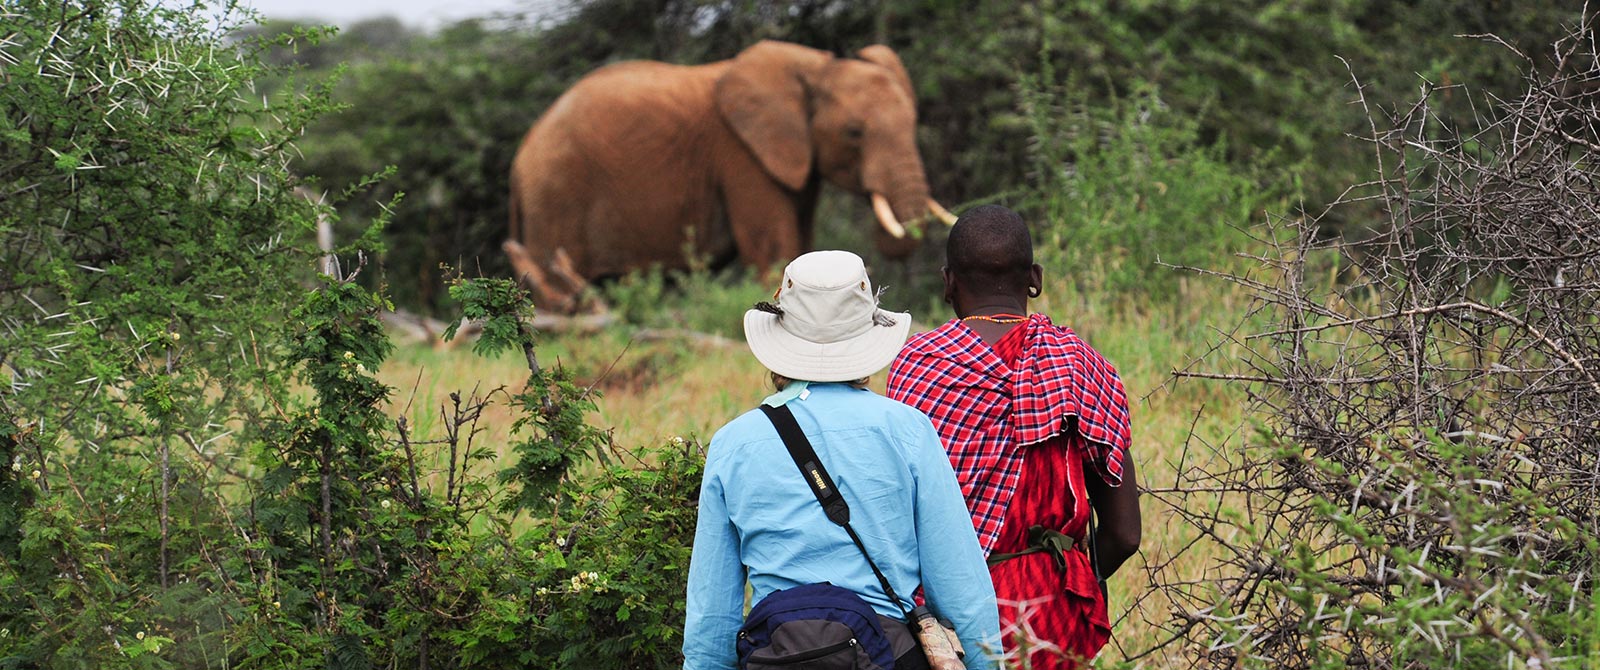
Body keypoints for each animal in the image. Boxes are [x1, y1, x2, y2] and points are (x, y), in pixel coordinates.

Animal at [502, 40, 947, 313]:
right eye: (854, 133)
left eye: (914, 121)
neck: (816, 67)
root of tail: (520, 157)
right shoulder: (741, 153)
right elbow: (772, 249)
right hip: (555, 196)